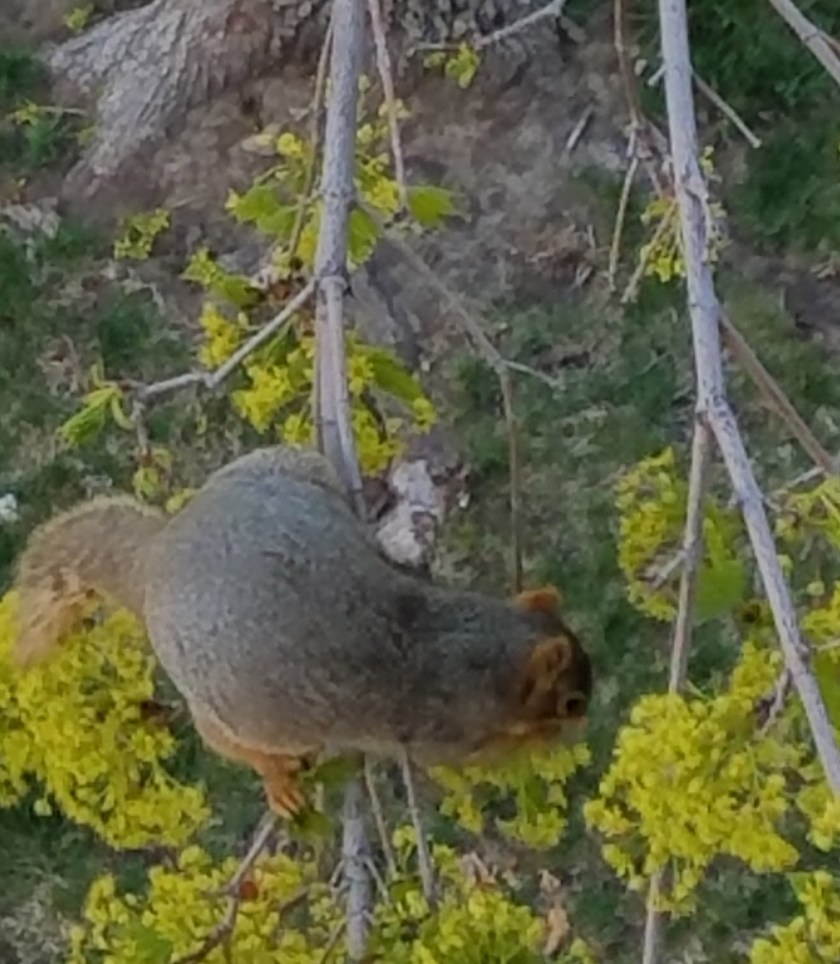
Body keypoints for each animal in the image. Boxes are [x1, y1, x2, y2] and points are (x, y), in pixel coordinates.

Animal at [12, 445, 592, 817]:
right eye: (569, 702)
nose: (583, 720)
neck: (477, 648)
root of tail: (157, 556)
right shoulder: (450, 735)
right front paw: (537, 742)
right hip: (236, 712)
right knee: (226, 741)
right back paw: (276, 778)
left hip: (283, 463)